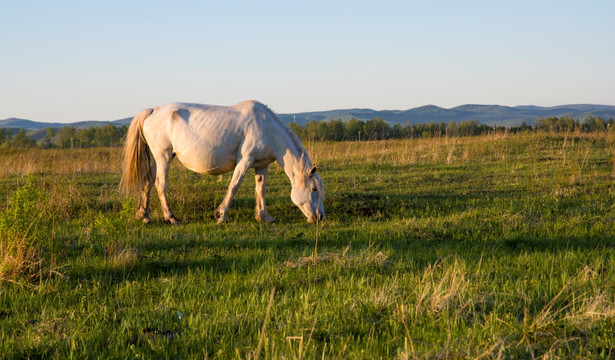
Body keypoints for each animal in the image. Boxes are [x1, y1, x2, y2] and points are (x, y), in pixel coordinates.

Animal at [118, 101, 324, 224]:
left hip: (155, 160)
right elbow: (234, 186)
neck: (267, 129)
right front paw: (221, 215)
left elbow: (261, 190)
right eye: (314, 189)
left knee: (148, 183)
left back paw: (144, 216)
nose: (320, 217)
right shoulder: (245, 160)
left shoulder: (261, 165)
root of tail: (153, 111)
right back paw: (171, 217)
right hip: (164, 157)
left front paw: (264, 216)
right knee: (160, 184)